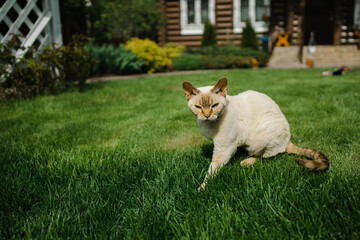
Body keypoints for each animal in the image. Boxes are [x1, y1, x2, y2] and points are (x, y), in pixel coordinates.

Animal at [183, 77, 330, 191]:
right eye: (198, 107)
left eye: (214, 105)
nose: (207, 115)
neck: (210, 125)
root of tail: (287, 141)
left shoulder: (224, 147)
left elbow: (212, 170)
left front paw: (202, 188)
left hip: (259, 139)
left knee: (265, 155)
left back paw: (247, 161)